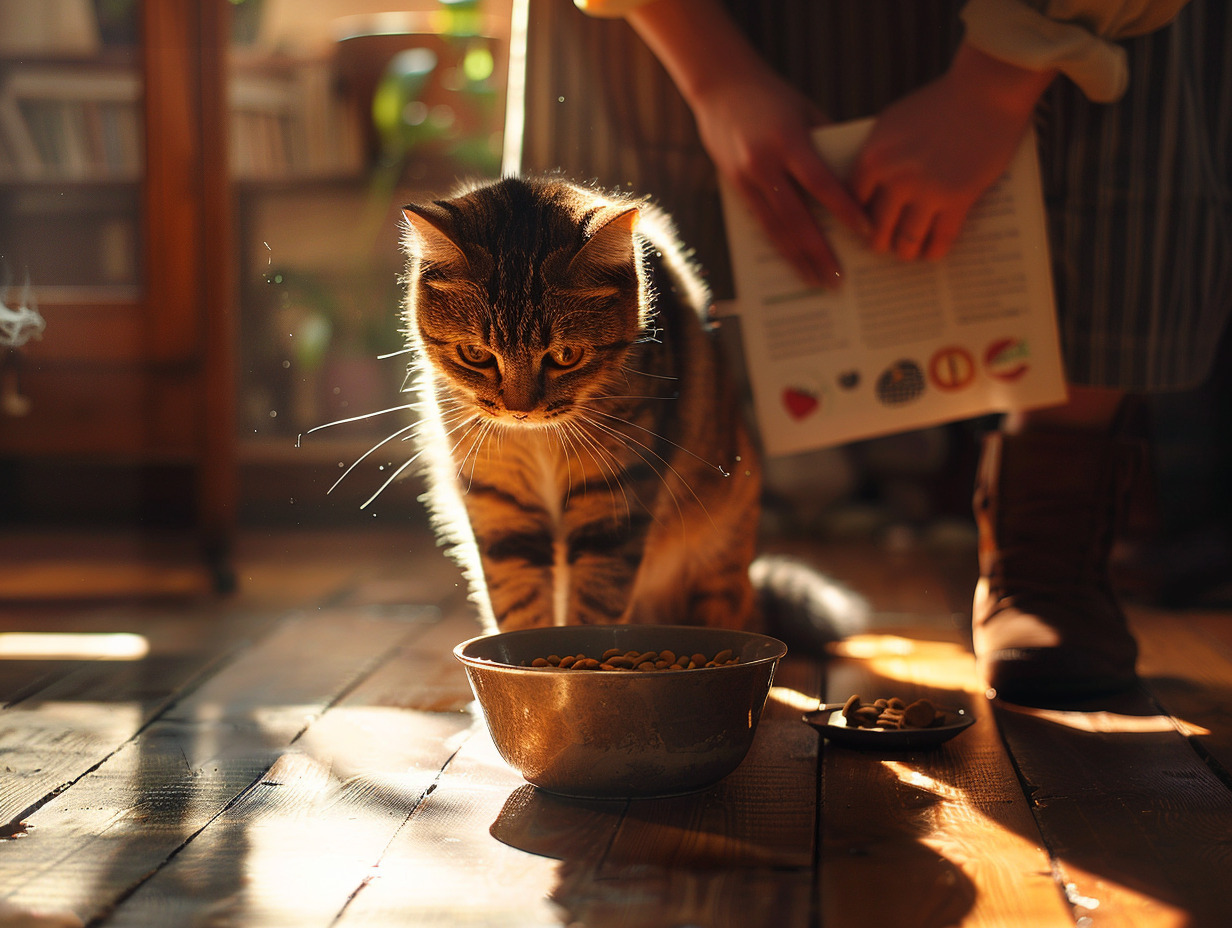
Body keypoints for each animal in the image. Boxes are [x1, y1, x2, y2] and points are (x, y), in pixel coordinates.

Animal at [404, 178, 867, 645]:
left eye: (566, 356)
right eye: (476, 354)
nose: (521, 411)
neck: (540, 440)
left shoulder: (615, 497)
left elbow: (593, 606)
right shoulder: (499, 503)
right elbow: (518, 603)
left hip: (718, 561)